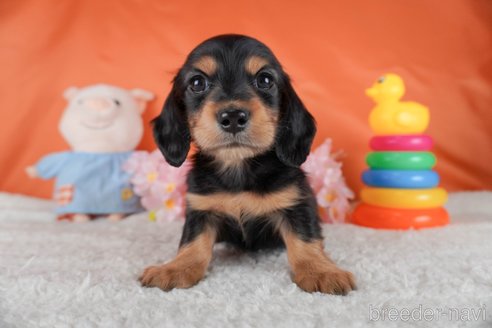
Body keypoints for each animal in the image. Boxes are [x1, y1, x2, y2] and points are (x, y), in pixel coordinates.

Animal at [140, 34, 356, 294]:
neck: (238, 167)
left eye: (265, 80)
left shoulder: (296, 204)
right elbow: (192, 242)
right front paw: (175, 267)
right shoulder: (201, 208)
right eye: (197, 82)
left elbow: (305, 239)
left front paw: (320, 270)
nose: (233, 117)